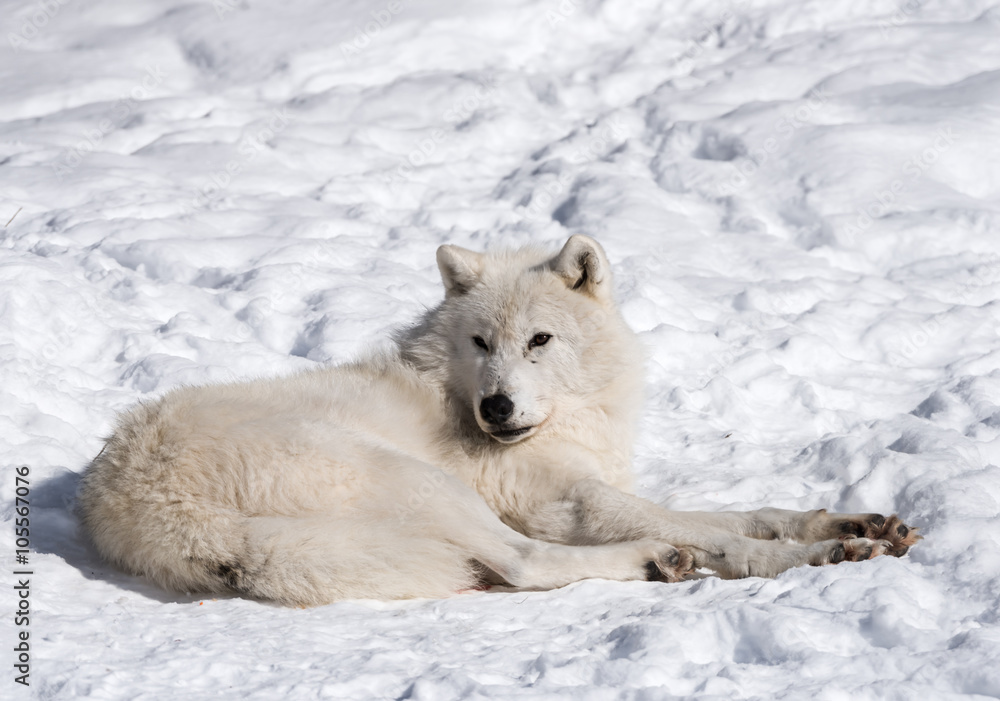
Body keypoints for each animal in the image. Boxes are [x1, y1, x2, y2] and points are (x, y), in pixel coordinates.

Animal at [78, 236, 920, 606]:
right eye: (481, 341)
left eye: (539, 340)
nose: (497, 407)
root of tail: (139, 509)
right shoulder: (572, 502)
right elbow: (723, 533)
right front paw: (814, 555)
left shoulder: (599, 486)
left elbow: (751, 509)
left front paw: (851, 520)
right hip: (423, 481)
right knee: (523, 565)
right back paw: (658, 560)